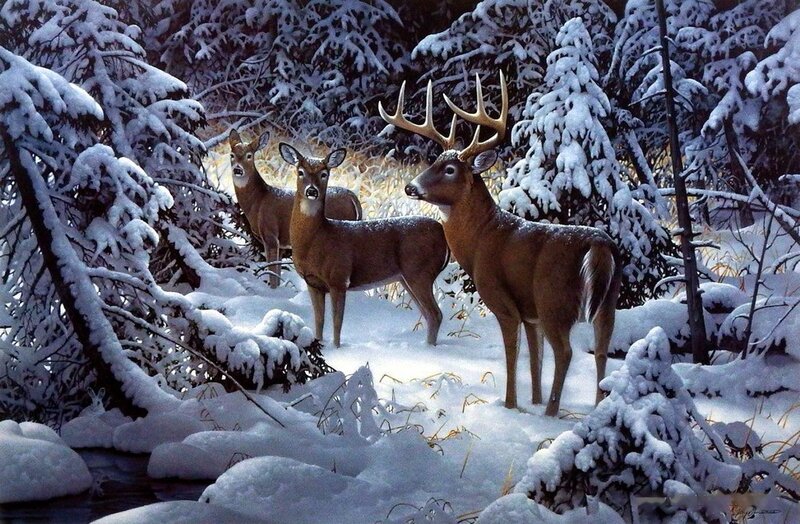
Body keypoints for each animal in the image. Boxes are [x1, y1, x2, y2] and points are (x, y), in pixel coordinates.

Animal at [228, 129, 362, 288]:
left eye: (249, 156)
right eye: (231, 155)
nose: (237, 169)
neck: (259, 201)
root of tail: (353, 197)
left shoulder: (271, 234)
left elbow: (272, 274)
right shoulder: (281, 245)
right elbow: (277, 273)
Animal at [278, 142, 449, 348]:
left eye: (324, 173)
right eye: (300, 172)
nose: (312, 191)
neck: (316, 239)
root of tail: (443, 235)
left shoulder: (339, 278)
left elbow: (337, 322)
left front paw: (337, 349)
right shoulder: (313, 283)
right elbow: (319, 321)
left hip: (420, 272)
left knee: (435, 314)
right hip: (406, 278)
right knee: (428, 315)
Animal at [379, 73, 622, 416]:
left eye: (450, 169)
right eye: (433, 162)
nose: (410, 187)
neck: (482, 238)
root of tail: (599, 244)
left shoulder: (504, 301)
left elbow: (513, 355)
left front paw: (511, 405)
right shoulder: (530, 313)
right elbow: (534, 359)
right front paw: (533, 400)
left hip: (555, 299)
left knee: (566, 352)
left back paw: (551, 414)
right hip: (607, 301)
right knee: (600, 351)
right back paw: (596, 407)